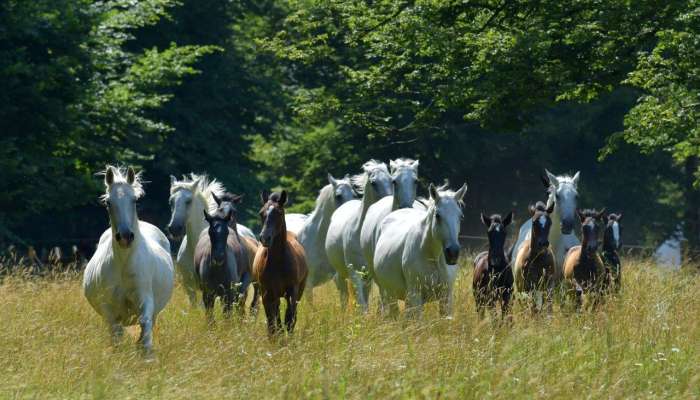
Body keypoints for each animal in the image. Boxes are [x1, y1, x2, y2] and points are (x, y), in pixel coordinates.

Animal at [82, 166, 174, 356]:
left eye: (135, 200)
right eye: (108, 202)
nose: (125, 236)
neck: (124, 264)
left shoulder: (145, 300)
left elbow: (145, 327)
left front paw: (146, 354)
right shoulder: (110, 311)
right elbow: (116, 335)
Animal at [252, 191, 306, 338]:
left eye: (280, 213)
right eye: (261, 213)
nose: (265, 238)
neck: (278, 262)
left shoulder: (292, 292)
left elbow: (289, 319)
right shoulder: (267, 293)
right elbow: (272, 322)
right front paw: (275, 339)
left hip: (298, 291)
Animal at [324, 161, 394, 310]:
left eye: (391, 180)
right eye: (373, 183)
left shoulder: (371, 274)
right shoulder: (355, 273)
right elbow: (361, 303)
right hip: (342, 273)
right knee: (344, 293)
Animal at [374, 183, 468, 318]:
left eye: (460, 216)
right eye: (438, 215)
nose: (453, 253)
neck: (432, 256)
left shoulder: (446, 296)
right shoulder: (415, 296)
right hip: (389, 293)